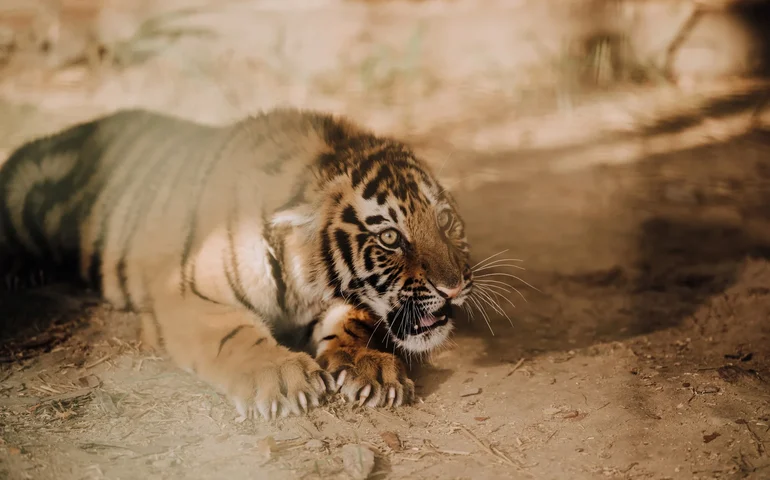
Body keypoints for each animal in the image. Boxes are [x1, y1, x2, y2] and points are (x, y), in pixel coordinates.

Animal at [0, 107, 474, 420]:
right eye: (390, 237)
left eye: (445, 220)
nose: (454, 287)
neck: (301, 277)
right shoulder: (186, 293)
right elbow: (234, 333)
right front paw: (281, 376)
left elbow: (354, 320)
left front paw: (370, 367)